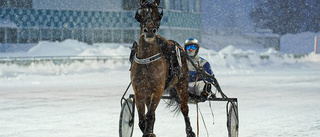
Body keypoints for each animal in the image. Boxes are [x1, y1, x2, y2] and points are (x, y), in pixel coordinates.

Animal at [129, 0, 195, 137]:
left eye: (158, 15)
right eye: (142, 14)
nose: (149, 30)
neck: (147, 61)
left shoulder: (158, 90)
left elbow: (149, 115)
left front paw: (149, 132)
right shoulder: (139, 92)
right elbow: (142, 120)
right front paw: (149, 132)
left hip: (182, 83)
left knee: (184, 108)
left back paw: (190, 131)